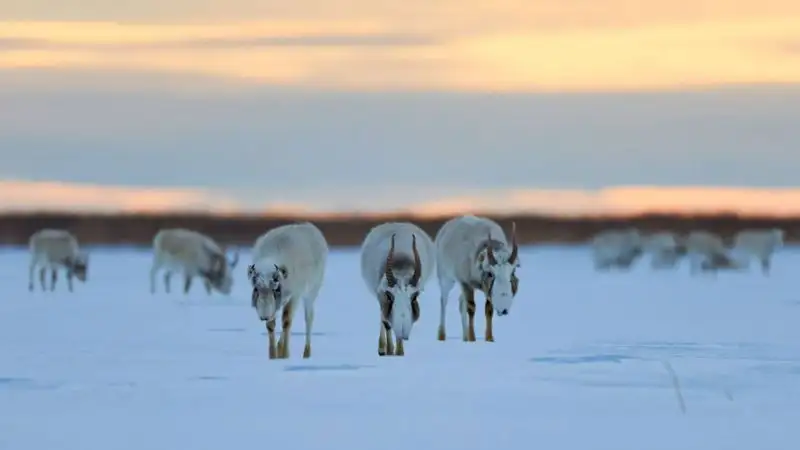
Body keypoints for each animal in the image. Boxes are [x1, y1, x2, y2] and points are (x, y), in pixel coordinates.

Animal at [247, 223, 328, 360]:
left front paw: (285, 354)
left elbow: (287, 321)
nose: (264, 316)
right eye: (256, 288)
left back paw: (306, 353)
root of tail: (309, 226)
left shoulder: (295, 294)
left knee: (309, 317)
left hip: (312, 291)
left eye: (275, 288)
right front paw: (273, 355)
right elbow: (271, 325)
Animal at [362, 221, 438, 356]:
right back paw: (384, 349)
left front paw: (399, 351)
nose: (402, 330)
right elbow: (386, 321)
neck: (401, 263)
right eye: (390, 295)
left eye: (414, 296)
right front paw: (387, 350)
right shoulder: (382, 296)